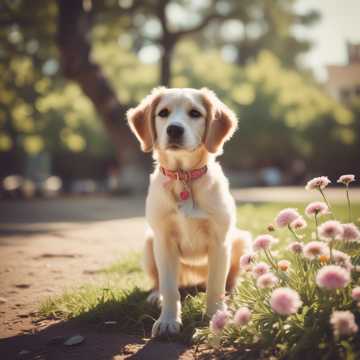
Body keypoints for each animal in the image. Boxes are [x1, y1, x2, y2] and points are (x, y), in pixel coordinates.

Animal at [128, 87, 252, 338]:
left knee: (230, 277)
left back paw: (233, 291)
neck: (183, 177)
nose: (174, 129)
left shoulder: (220, 241)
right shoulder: (163, 240)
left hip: (241, 240)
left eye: (195, 113)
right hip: (149, 243)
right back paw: (155, 295)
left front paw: (216, 317)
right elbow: (169, 287)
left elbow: (215, 285)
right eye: (163, 113)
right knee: (160, 281)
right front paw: (167, 320)